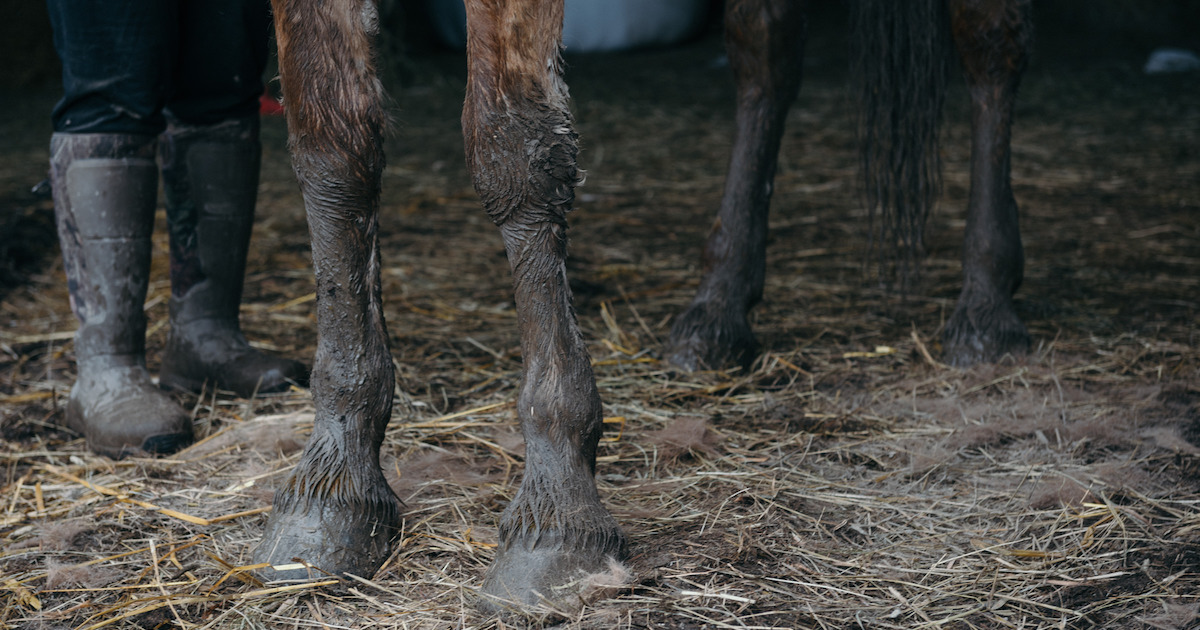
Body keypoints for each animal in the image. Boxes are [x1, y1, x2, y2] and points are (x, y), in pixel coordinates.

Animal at [253, 0, 1032, 612]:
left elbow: (512, 145)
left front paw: (557, 508)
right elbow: (332, 140)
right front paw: (334, 482)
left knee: (989, 38)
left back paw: (986, 305)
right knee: (765, 47)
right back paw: (718, 308)